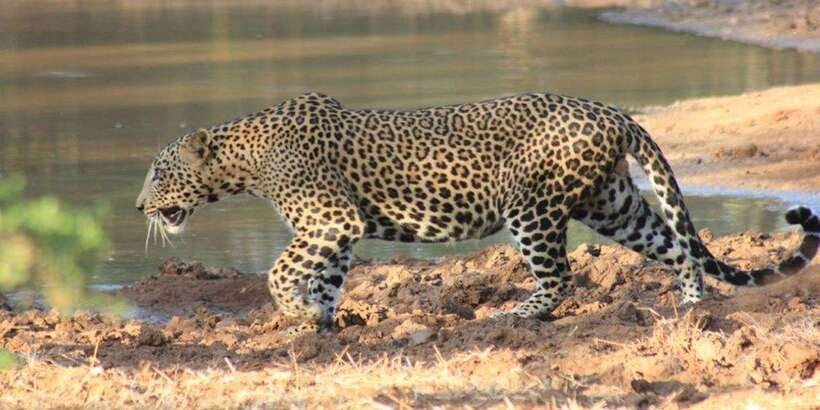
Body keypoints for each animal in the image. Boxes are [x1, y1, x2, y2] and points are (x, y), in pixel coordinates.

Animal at [136, 92, 819, 333]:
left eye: (158, 171)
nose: (140, 204)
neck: (243, 158)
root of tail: (610, 111)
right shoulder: (337, 231)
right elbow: (325, 277)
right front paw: (319, 323)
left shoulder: (330, 219)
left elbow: (282, 271)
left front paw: (295, 312)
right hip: (612, 204)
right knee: (678, 244)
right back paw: (692, 307)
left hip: (531, 207)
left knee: (561, 277)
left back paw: (515, 313)